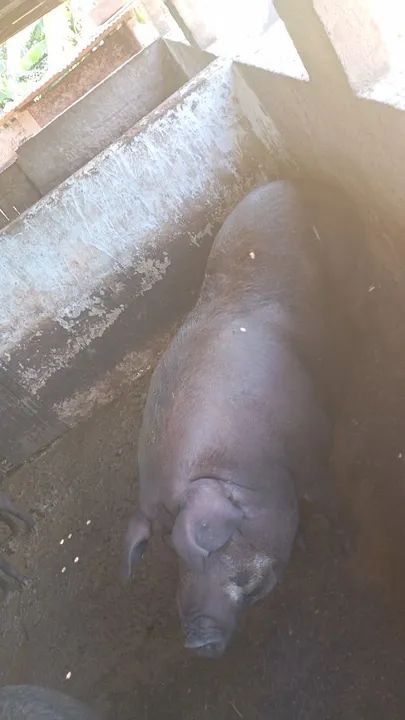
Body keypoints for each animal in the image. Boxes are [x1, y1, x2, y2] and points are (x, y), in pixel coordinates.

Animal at [124, 179, 364, 657]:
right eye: (169, 555)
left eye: (208, 548)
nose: (195, 640)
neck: (249, 469)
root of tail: (289, 181)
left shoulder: (310, 453)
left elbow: (329, 499)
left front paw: (349, 547)